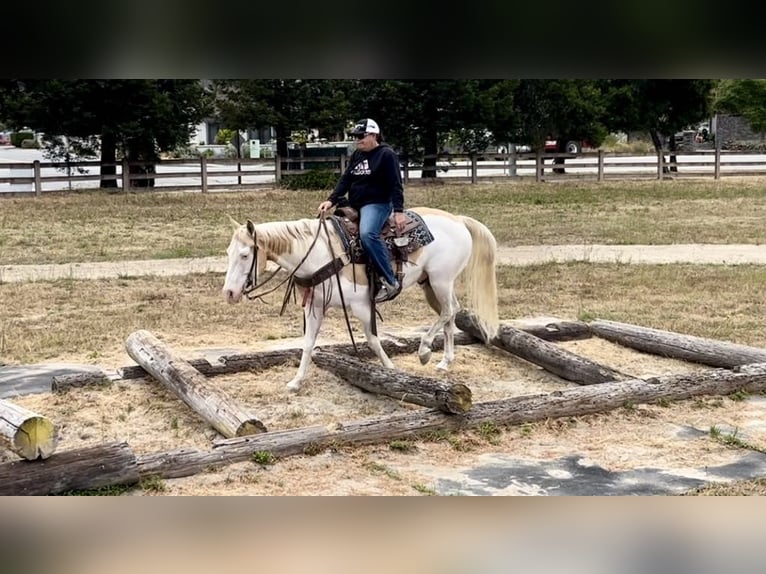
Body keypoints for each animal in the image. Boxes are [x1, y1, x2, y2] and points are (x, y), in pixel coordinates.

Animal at [222, 207, 499, 391]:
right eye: (228, 253)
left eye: (245, 255)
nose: (229, 293)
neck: (321, 254)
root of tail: (458, 220)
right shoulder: (315, 307)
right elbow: (308, 344)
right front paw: (296, 382)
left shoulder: (362, 306)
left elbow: (373, 341)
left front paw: (391, 370)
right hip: (432, 284)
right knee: (451, 312)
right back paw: (444, 362)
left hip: (441, 280)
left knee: (448, 312)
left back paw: (424, 351)